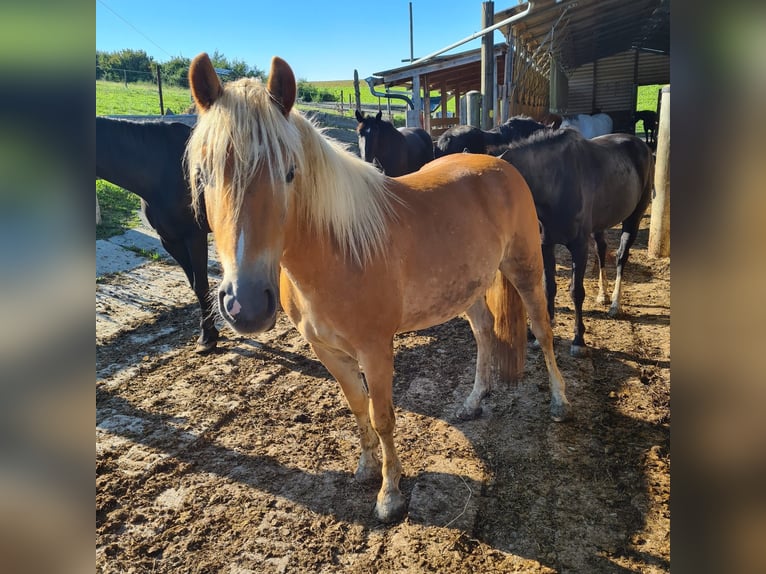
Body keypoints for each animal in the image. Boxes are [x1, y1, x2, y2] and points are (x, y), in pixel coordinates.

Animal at [184, 54, 568, 528]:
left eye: (290, 172)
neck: (336, 250)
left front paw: (390, 495)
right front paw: (366, 467)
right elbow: (356, 405)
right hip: (468, 288)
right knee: (484, 331)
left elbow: (382, 416)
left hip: (525, 267)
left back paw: (559, 403)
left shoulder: (375, 349)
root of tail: (500, 165)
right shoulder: (327, 350)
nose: (247, 304)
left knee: (543, 331)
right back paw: (474, 401)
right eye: (204, 175)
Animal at [500, 128, 656, 358]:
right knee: (601, 250)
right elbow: (549, 287)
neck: (555, 184)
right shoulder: (546, 244)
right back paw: (603, 295)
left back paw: (615, 304)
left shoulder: (579, 247)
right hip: (599, 225)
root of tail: (642, 146)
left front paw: (578, 341)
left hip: (633, 218)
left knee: (621, 256)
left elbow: (577, 291)